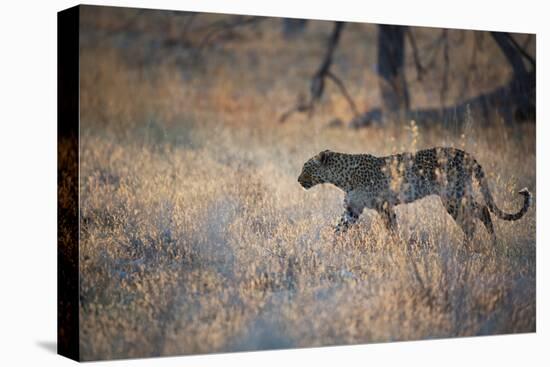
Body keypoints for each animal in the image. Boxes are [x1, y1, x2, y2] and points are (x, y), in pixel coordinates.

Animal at [300, 147, 532, 247]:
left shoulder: (384, 206)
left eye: (306, 167)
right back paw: (491, 244)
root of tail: (466, 154)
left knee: (472, 219)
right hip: (458, 195)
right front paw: (329, 247)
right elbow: (339, 228)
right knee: (481, 211)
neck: (341, 178)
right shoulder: (353, 210)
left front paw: (395, 248)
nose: (298, 179)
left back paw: (469, 247)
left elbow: (391, 229)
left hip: (452, 196)